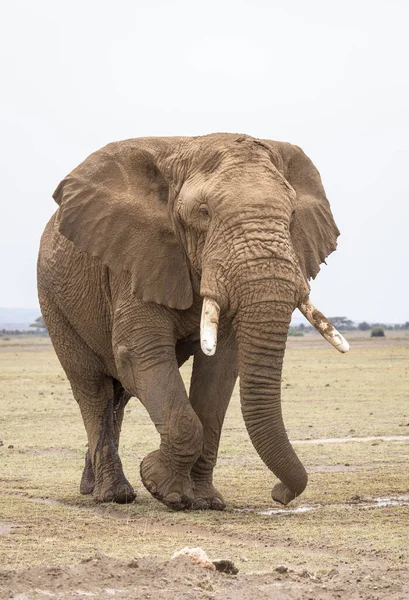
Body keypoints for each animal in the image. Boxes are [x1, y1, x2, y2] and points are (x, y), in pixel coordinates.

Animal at [37, 135, 348, 510]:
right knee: (93, 388)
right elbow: (140, 354)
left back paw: (92, 487)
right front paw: (163, 488)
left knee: (118, 395)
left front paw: (205, 501)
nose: (279, 494)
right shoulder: (136, 260)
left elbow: (220, 368)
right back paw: (113, 496)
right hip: (53, 301)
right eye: (204, 213)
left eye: (291, 216)